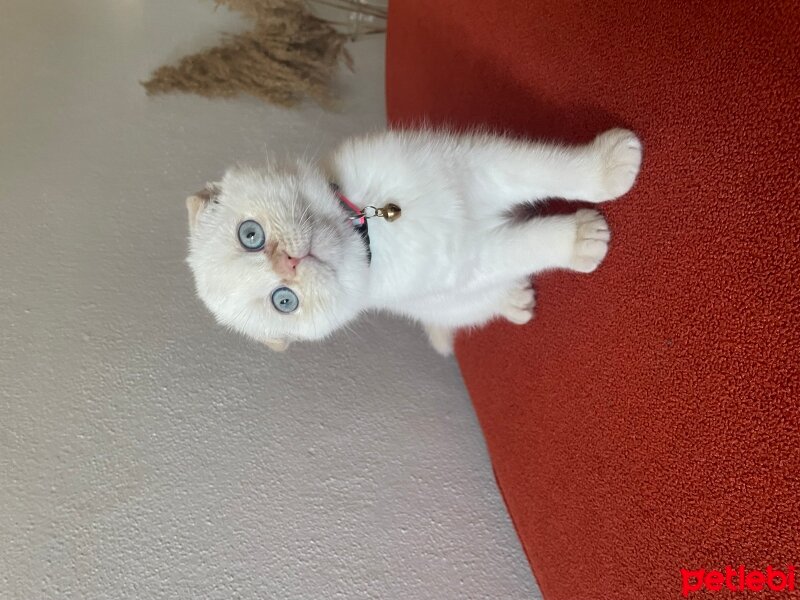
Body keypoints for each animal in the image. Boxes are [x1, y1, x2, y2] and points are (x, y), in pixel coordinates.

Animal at [184, 129, 640, 354]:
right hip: (450, 302)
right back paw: (514, 300)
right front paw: (581, 238)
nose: (289, 265)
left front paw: (609, 165)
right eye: (284, 301)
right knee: (477, 304)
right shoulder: (467, 261)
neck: (374, 227)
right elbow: (527, 246)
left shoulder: (471, 163)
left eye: (250, 235)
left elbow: (540, 167)